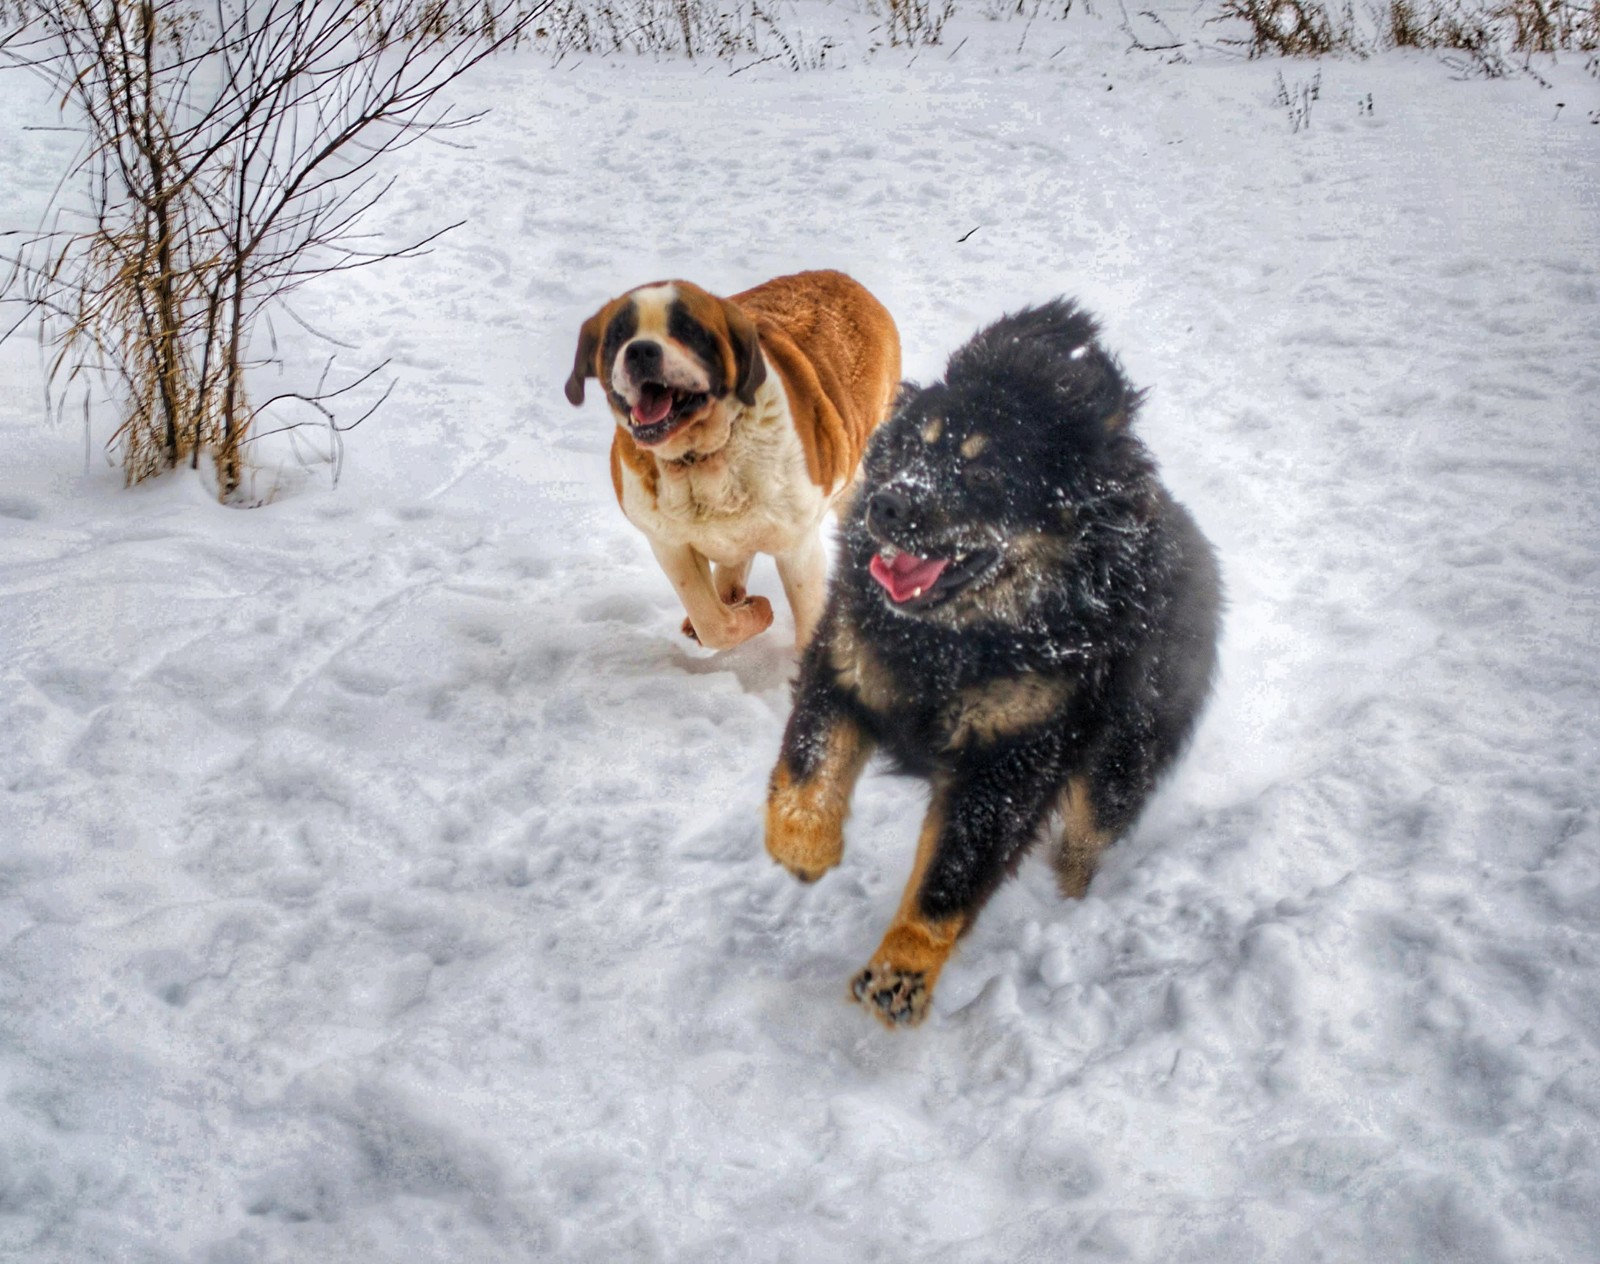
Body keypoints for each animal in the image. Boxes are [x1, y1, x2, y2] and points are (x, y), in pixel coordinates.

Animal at [563, 270, 902, 652]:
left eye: (689, 330)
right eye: (618, 335)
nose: (640, 350)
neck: (699, 458)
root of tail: (844, 279)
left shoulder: (798, 547)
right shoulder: (669, 544)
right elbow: (712, 621)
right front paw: (753, 612)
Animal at [768, 304, 1216, 1030]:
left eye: (983, 475)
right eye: (912, 447)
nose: (887, 503)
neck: (957, 643)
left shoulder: (1012, 759)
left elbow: (950, 880)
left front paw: (901, 976)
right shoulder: (845, 663)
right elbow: (807, 773)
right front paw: (806, 853)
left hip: (1121, 759)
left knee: (1086, 838)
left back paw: (1068, 909)